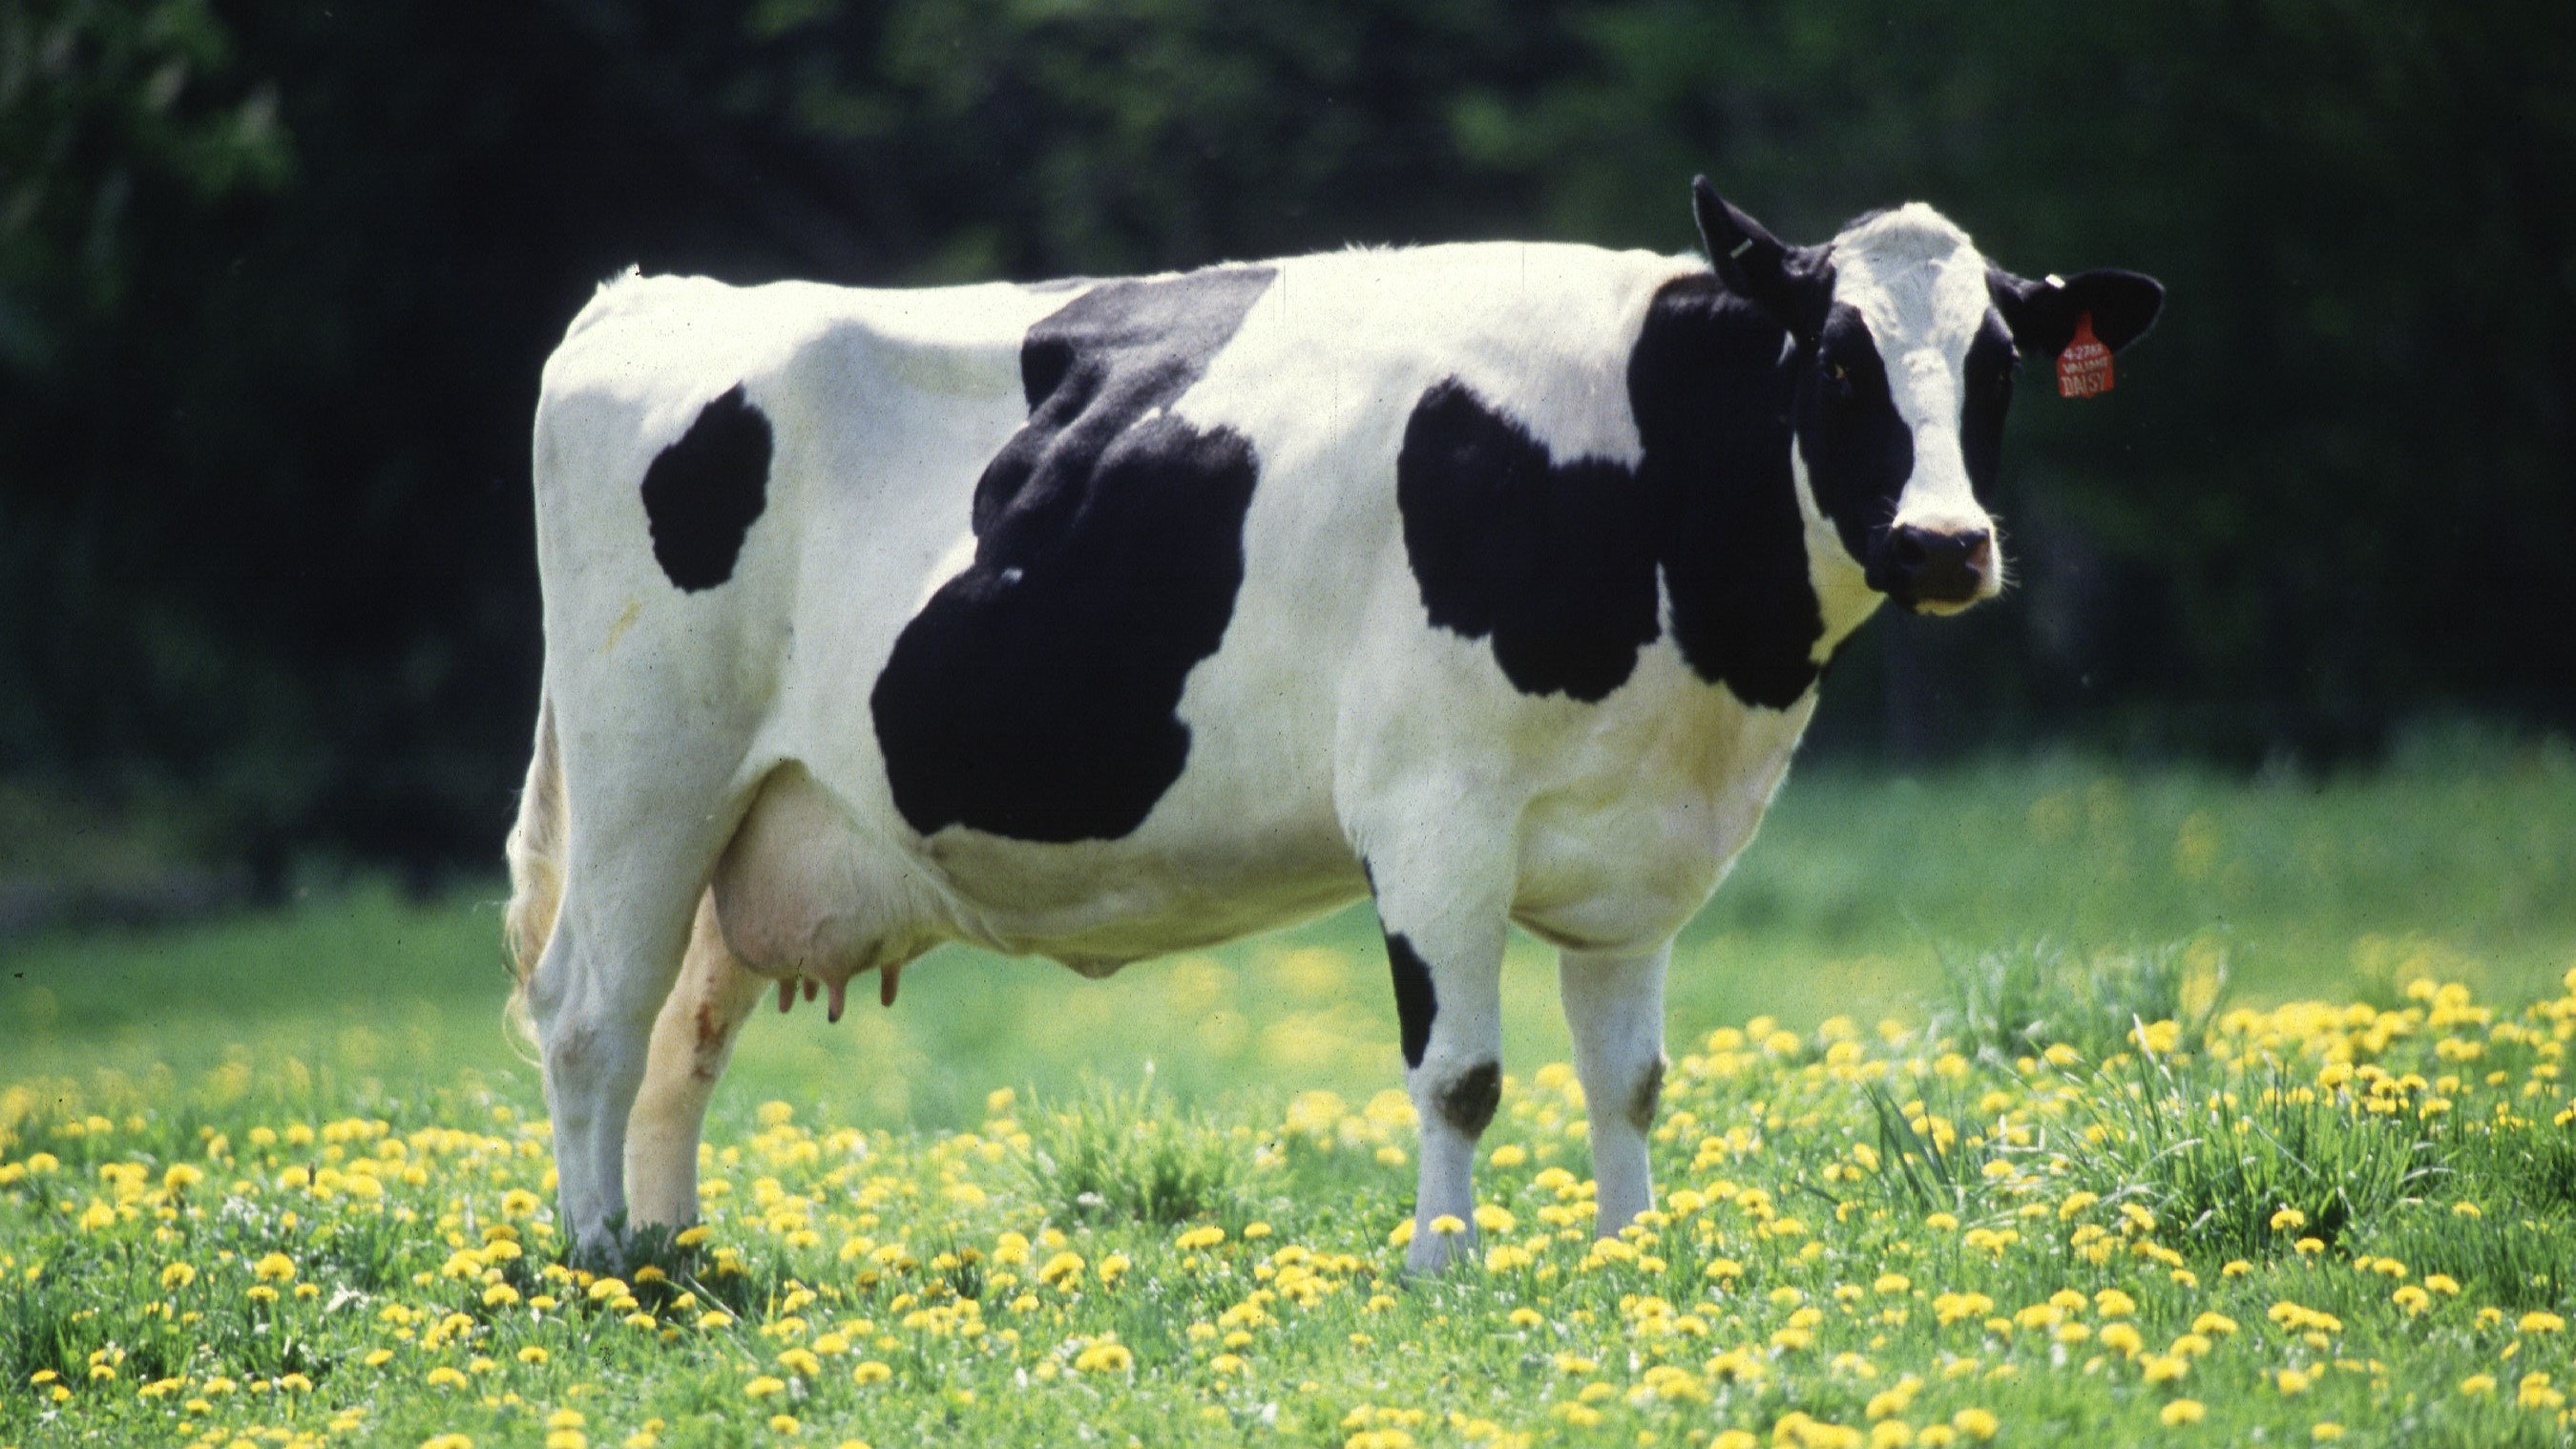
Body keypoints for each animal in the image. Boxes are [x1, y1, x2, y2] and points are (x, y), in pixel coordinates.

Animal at [503, 179, 2162, 1271]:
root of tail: (653, 295)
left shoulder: (1639, 850)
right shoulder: (1433, 812)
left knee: (681, 1033)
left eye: (1996, 365)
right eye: (1833, 356)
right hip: (649, 770)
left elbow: (1625, 1076)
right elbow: (1461, 1072)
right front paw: (1443, 1268)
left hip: (754, 813)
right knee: (591, 1011)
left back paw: (675, 1254)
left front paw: (1631, 1258)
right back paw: (600, 1263)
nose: (1943, 543)